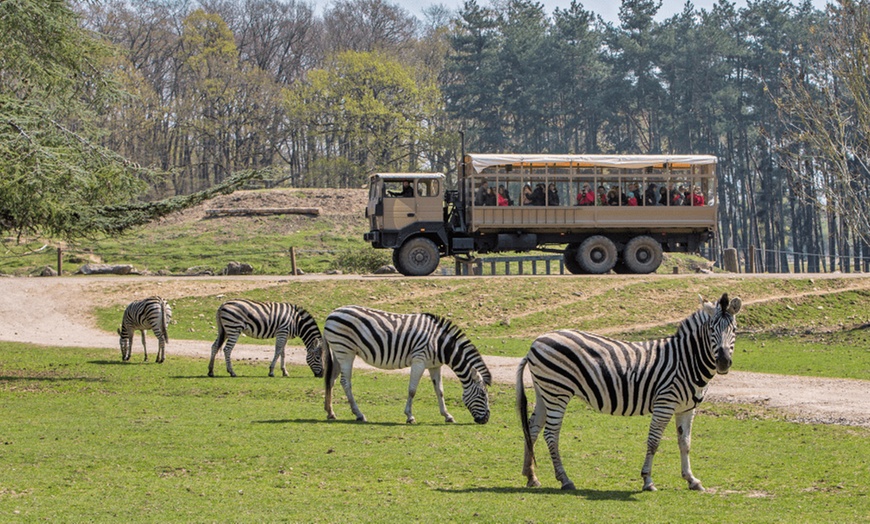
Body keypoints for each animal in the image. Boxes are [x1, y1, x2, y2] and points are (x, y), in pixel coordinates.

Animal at [324, 304, 494, 424]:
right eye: (482, 395)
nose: (485, 420)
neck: (440, 344)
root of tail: (331, 313)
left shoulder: (434, 365)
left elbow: (439, 391)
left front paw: (447, 415)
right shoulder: (419, 360)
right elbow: (412, 390)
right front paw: (410, 416)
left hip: (338, 352)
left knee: (331, 380)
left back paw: (330, 412)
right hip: (346, 352)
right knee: (345, 382)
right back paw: (359, 414)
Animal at [516, 292, 744, 494]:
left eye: (734, 329)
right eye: (712, 329)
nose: (723, 362)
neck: (686, 360)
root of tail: (536, 342)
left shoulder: (687, 408)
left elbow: (685, 443)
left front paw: (692, 480)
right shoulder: (665, 403)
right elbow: (654, 441)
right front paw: (648, 480)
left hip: (544, 391)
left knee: (532, 428)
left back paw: (531, 476)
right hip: (558, 391)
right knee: (550, 434)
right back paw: (565, 479)